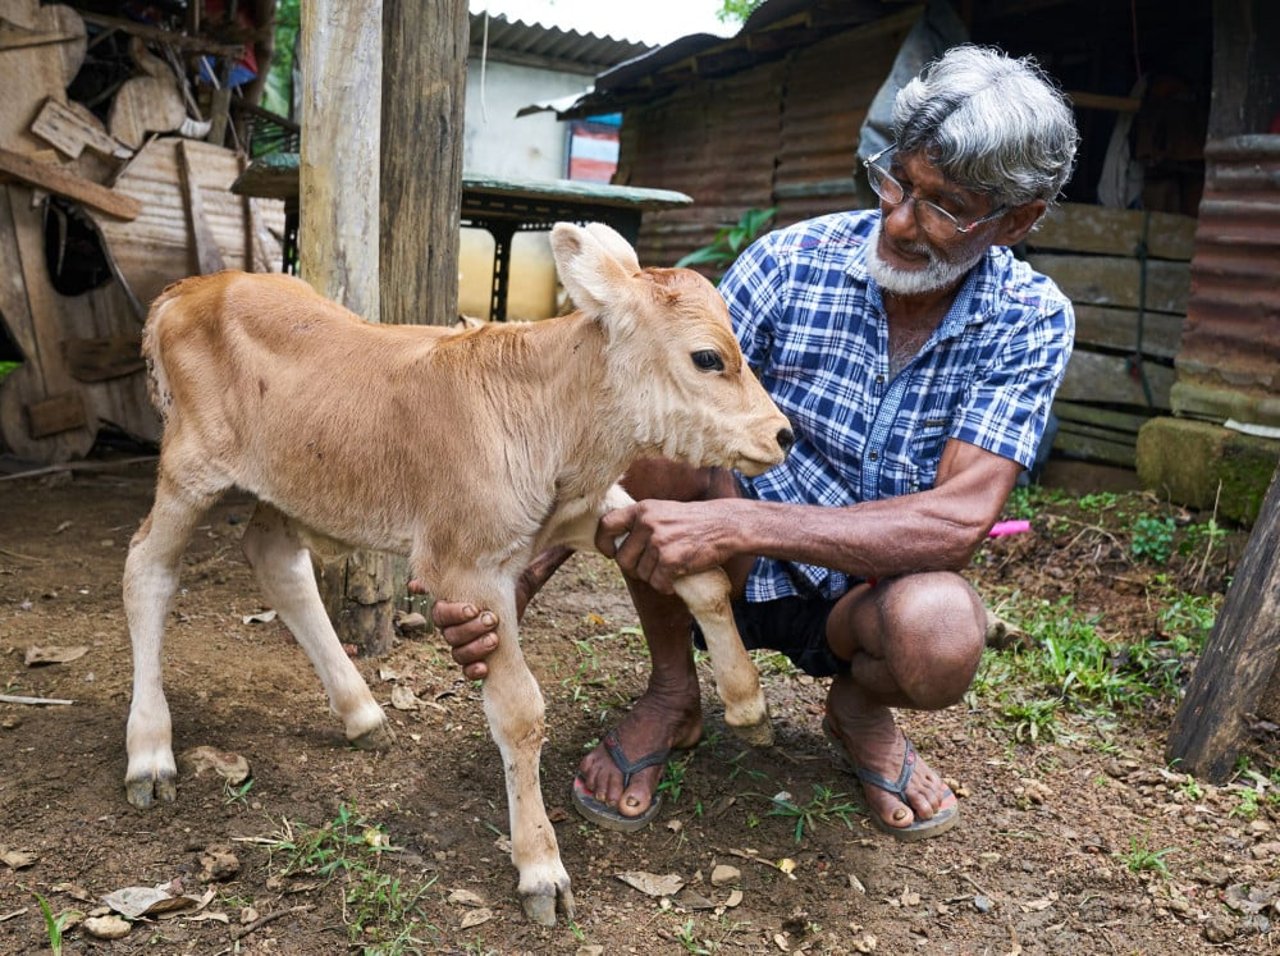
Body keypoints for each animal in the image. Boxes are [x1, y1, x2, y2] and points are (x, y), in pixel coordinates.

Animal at [124, 220, 793, 921]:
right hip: (191, 467)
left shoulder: (586, 511)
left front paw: (748, 703)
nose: (783, 435)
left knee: (277, 561)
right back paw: (150, 752)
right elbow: (520, 712)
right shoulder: (466, 566)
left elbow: (699, 576)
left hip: (290, 483)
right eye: (708, 358)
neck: (562, 424)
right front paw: (541, 868)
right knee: (148, 567)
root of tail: (188, 289)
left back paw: (362, 714)